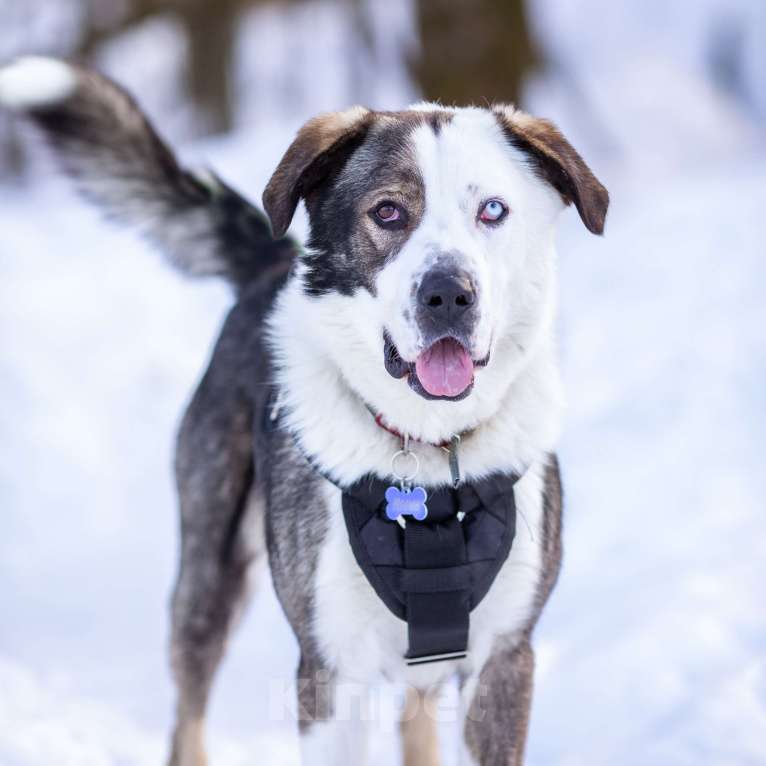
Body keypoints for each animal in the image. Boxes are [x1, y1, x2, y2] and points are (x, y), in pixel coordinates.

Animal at [1, 57, 612, 764]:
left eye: (493, 210)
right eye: (388, 212)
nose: (448, 294)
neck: (431, 457)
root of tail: (274, 262)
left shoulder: (504, 657)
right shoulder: (330, 667)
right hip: (208, 578)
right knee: (188, 714)